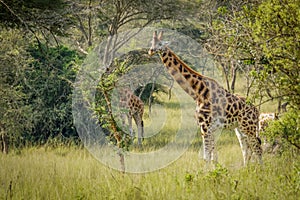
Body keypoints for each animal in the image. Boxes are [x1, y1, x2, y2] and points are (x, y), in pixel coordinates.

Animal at [149, 31, 262, 165]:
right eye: (151, 42)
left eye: (160, 44)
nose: (150, 51)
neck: (198, 93)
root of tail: (257, 111)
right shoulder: (210, 128)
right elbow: (213, 158)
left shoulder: (205, 126)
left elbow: (207, 157)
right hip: (240, 128)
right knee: (246, 150)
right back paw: (246, 168)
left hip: (249, 127)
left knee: (257, 148)